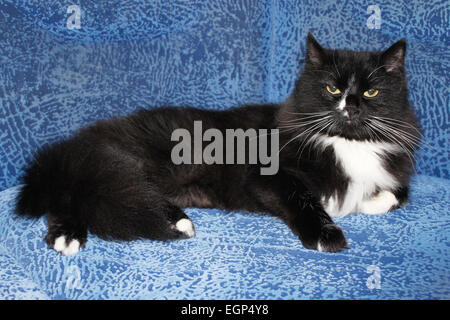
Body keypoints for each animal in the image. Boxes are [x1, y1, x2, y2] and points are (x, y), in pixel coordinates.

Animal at [14, 33, 422, 256]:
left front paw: (366, 203)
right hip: (118, 167)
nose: (350, 107)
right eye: (331, 89)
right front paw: (327, 235)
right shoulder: (269, 173)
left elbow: (398, 193)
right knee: (76, 195)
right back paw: (72, 235)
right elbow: (305, 199)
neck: (344, 142)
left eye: (370, 92)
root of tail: (76, 142)